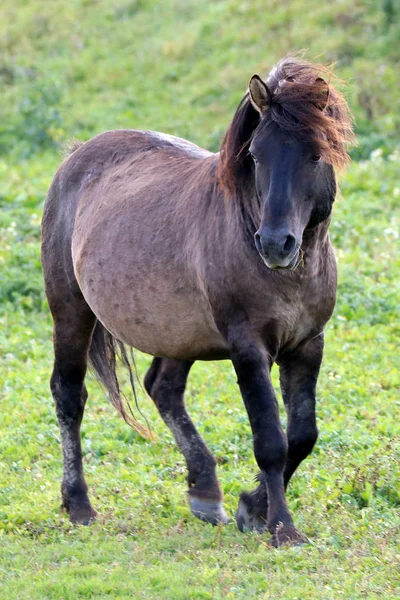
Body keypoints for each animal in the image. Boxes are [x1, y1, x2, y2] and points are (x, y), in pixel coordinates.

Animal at [39, 57, 354, 548]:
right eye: (256, 156)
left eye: (315, 155)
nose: (275, 244)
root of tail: (76, 155)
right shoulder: (248, 348)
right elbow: (271, 441)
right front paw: (281, 528)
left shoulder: (308, 345)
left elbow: (303, 435)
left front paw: (252, 507)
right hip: (71, 310)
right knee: (70, 394)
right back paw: (79, 505)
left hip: (177, 335)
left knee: (162, 388)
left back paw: (205, 493)